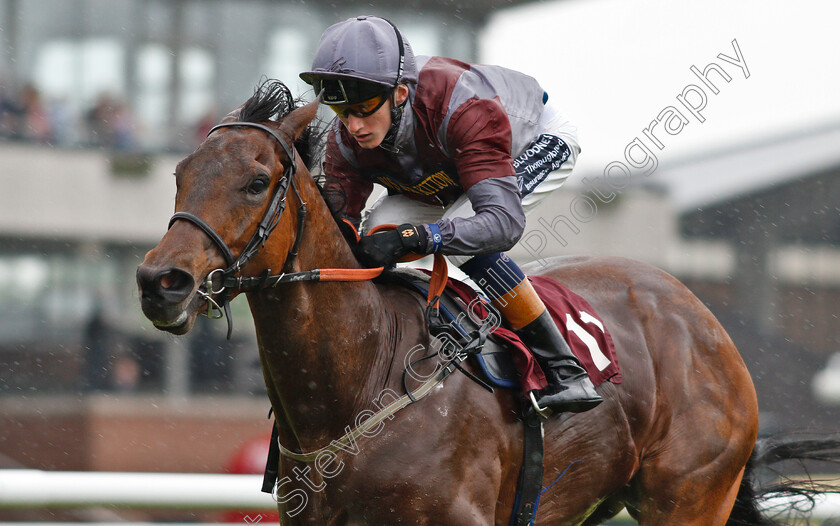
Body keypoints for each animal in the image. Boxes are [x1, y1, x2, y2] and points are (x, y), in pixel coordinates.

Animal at [136, 80, 828, 524]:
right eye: (179, 174)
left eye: (256, 183)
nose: (160, 282)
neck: (364, 382)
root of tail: (701, 316)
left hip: (689, 496)